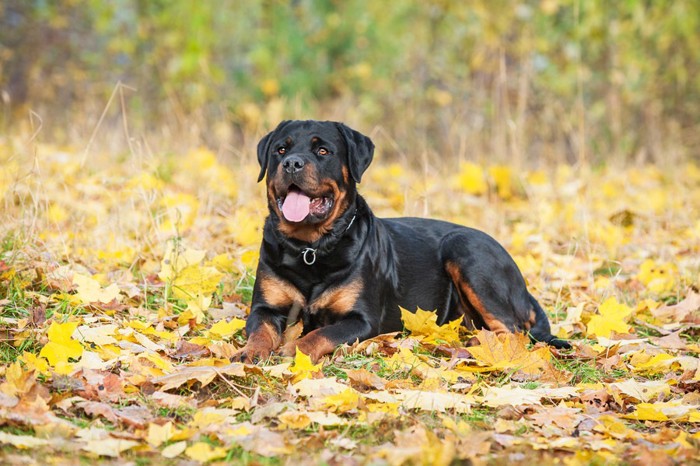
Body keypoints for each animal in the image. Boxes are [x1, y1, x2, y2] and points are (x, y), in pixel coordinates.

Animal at [238, 120, 568, 364]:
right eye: (280, 149)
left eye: (322, 150)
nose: (292, 163)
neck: (311, 249)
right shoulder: (265, 308)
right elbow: (260, 330)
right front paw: (249, 352)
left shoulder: (362, 319)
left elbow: (319, 334)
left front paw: (293, 349)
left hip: (466, 250)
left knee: (513, 330)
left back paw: (478, 344)